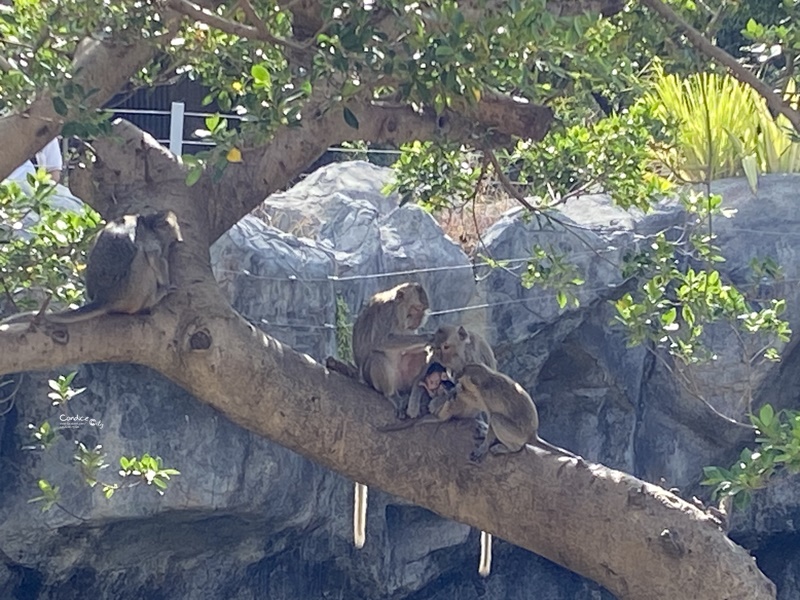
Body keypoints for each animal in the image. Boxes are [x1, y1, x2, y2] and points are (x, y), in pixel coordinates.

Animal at [44, 211, 182, 324]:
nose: (178, 238)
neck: (148, 223)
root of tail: (103, 299)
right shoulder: (150, 237)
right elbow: (153, 255)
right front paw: (166, 285)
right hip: (129, 293)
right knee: (142, 257)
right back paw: (153, 299)